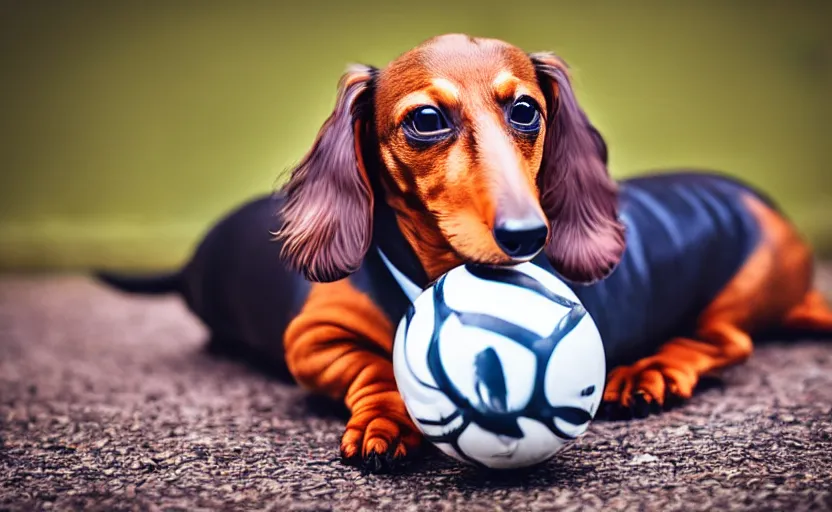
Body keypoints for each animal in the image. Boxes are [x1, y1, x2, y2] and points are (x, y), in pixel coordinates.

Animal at [99, 33, 832, 472]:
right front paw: (386, 417)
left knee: (725, 341)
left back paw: (651, 370)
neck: (433, 269)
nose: (527, 235)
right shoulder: (313, 338)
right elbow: (373, 365)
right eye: (426, 119)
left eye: (526, 110)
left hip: (737, 293)